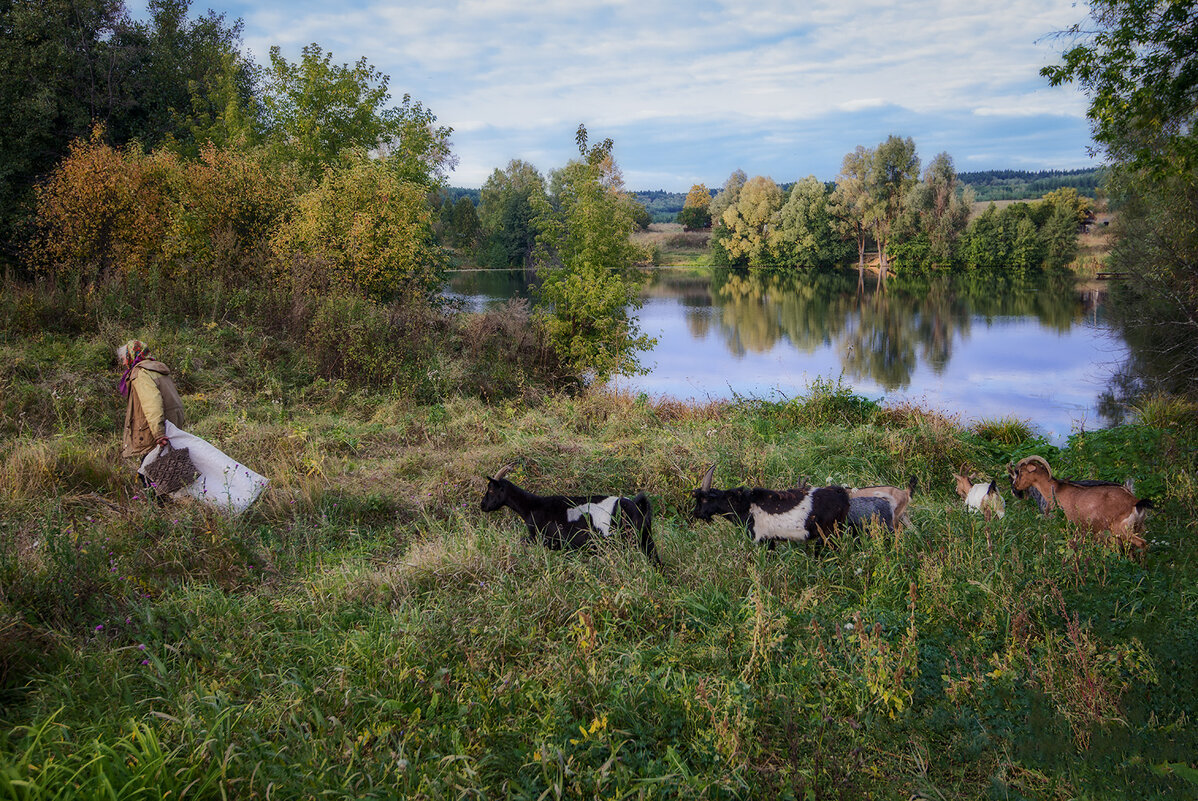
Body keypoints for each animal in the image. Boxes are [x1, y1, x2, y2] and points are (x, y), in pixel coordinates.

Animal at [479, 459, 666, 565]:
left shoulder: (541, 538)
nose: (483, 506)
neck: (532, 507)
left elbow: (523, 541)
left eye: (491, 490)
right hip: (646, 538)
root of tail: (637, 505)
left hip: (627, 540)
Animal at [694, 462, 852, 550]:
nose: (696, 513)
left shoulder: (763, 539)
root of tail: (841, 493)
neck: (745, 506)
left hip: (830, 533)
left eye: (703, 500)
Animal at [1011, 452, 1150, 553]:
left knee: (1142, 543)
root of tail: (1136, 503)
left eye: (1021, 472)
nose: (1014, 487)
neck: (1055, 490)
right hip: (1136, 528)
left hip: (1121, 529)